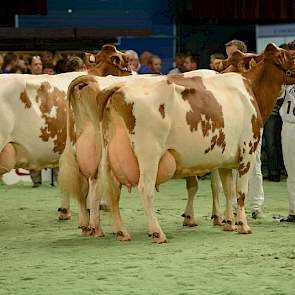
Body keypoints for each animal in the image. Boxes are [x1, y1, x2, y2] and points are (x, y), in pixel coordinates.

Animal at [92, 43, 295, 243]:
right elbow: (240, 191)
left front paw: (229, 223)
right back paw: (157, 233)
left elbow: (228, 190)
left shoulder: (225, 159)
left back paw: (120, 232)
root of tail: (119, 87)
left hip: (107, 157)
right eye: (288, 56)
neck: (250, 91)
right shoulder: (248, 151)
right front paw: (242, 225)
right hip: (149, 154)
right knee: (145, 188)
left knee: (109, 190)